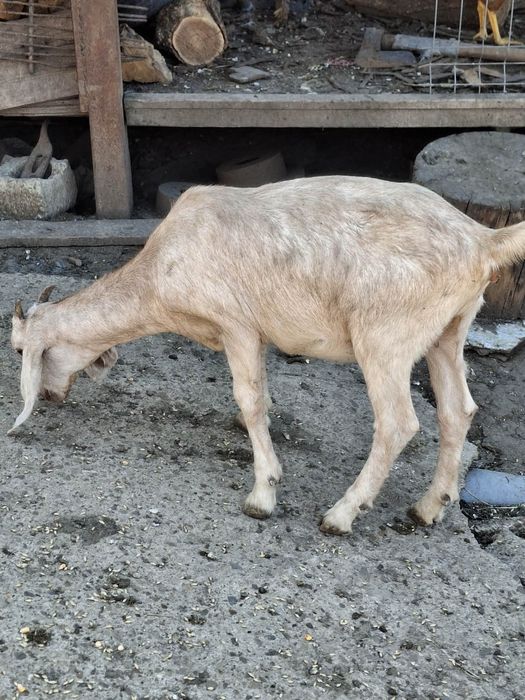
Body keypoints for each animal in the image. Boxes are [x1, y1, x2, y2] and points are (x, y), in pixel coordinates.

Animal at [9, 176, 525, 534]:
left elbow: (249, 397)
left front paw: (262, 494)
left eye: (20, 349)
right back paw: (429, 507)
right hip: (449, 330)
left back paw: (342, 514)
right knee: (458, 411)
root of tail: (483, 240)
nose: (50, 398)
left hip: (385, 335)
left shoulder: (236, 323)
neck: (158, 274)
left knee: (398, 423)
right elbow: (259, 394)